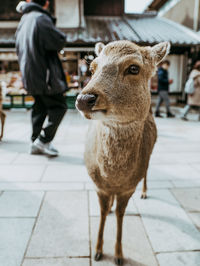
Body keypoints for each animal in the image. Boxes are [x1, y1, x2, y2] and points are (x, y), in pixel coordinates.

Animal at [76, 39, 170, 264]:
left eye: (133, 68)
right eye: (92, 68)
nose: (84, 98)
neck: (114, 176)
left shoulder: (128, 188)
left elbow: (121, 215)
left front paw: (118, 255)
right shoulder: (98, 184)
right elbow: (102, 212)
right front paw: (98, 251)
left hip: (150, 154)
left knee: (147, 171)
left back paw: (145, 193)